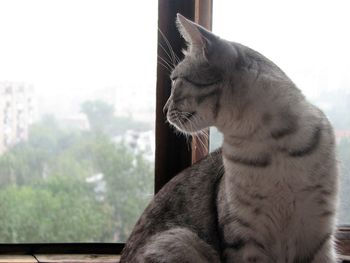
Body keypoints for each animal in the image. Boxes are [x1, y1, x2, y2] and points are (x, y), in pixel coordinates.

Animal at [119, 14, 338, 263]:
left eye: (175, 81)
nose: (164, 109)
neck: (273, 143)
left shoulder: (318, 231)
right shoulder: (242, 237)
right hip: (180, 239)